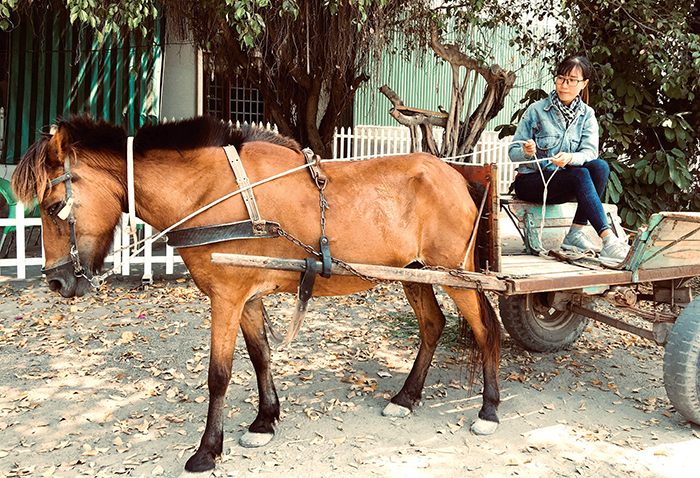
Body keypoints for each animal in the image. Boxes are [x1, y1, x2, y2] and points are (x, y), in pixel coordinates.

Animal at [12, 115, 501, 473]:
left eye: (54, 208)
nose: (56, 281)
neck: (211, 192)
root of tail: (456, 175)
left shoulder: (226, 297)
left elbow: (219, 375)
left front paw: (207, 450)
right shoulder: (245, 297)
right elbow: (261, 355)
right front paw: (265, 421)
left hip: (456, 274)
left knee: (486, 331)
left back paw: (489, 410)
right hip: (414, 273)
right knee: (433, 325)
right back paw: (406, 397)